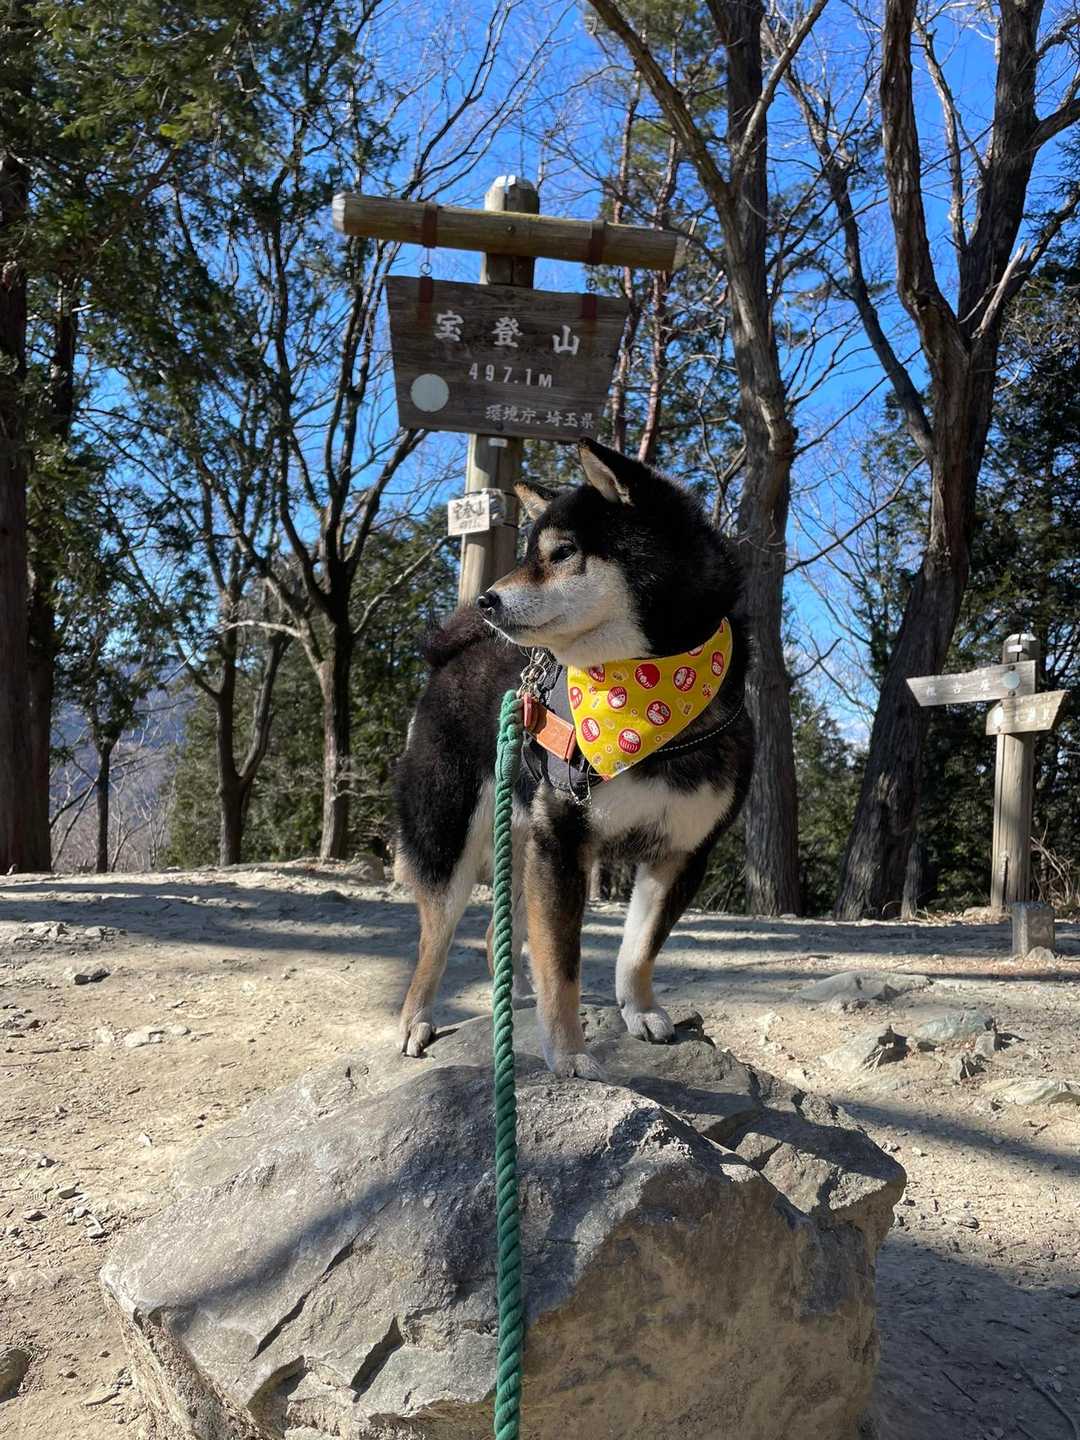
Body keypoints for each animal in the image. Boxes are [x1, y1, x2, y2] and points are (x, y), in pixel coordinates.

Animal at [394, 438, 753, 1078]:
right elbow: (562, 966)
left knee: (503, 931)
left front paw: (639, 1010)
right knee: (434, 941)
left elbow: (638, 950)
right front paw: (567, 1054)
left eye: (561, 553)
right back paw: (417, 1019)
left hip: (518, 837)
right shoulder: (562, 841)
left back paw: (512, 997)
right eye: (528, 553)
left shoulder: (681, 854)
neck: (647, 703)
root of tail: (448, 660)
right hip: (449, 838)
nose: (486, 601)